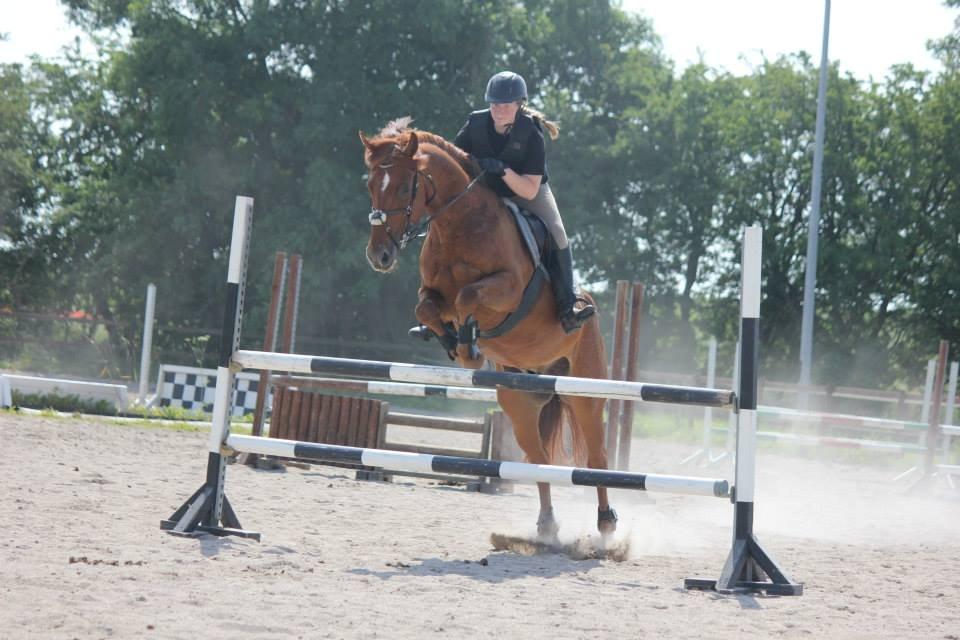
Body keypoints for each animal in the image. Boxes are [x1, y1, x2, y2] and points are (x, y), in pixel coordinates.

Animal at [358, 117, 616, 536]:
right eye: (370, 185)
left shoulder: (508, 289)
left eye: (402, 186)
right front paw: (452, 342)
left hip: (584, 390)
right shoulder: (431, 293)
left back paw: (607, 525)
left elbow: (467, 298)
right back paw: (546, 524)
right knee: (537, 455)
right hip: (517, 397)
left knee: (597, 455)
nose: (379, 255)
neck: (457, 225)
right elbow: (426, 308)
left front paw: (470, 348)